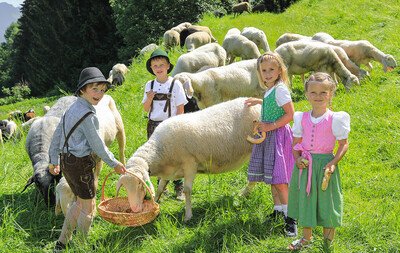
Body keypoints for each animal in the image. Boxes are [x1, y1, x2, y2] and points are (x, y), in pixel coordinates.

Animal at [118, 98, 262, 220]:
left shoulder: (190, 164)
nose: (135, 209)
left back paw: (244, 194)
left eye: (139, 184)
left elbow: (187, 190)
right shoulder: (170, 171)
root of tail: (260, 103)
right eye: (125, 187)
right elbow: (160, 187)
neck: (159, 150)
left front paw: (188, 215)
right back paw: (244, 194)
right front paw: (156, 204)